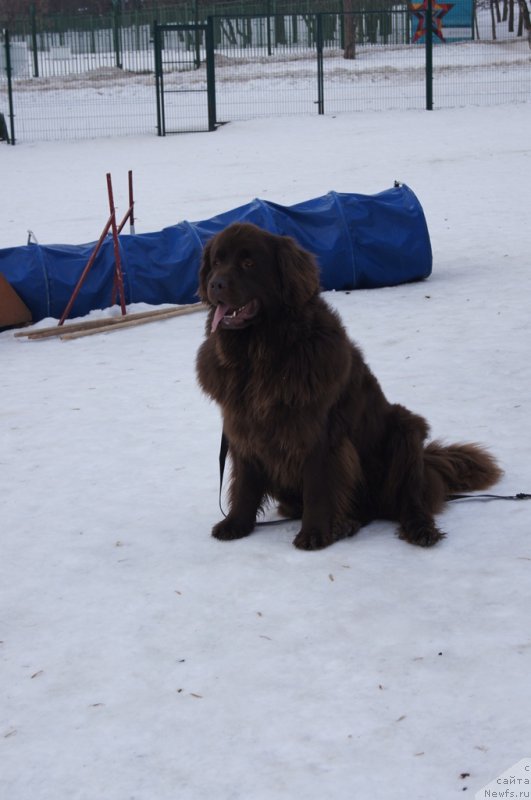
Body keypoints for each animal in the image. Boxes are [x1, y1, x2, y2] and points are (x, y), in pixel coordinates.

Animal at [195, 223, 502, 552]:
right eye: (216, 261)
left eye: (249, 263)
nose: (215, 284)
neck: (258, 357)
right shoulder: (244, 428)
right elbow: (245, 483)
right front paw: (236, 524)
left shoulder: (319, 434)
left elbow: (318, 487)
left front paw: (314, 534)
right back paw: (346, 524)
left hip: (404, 428)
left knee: (409, 499)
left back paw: (417, 529)